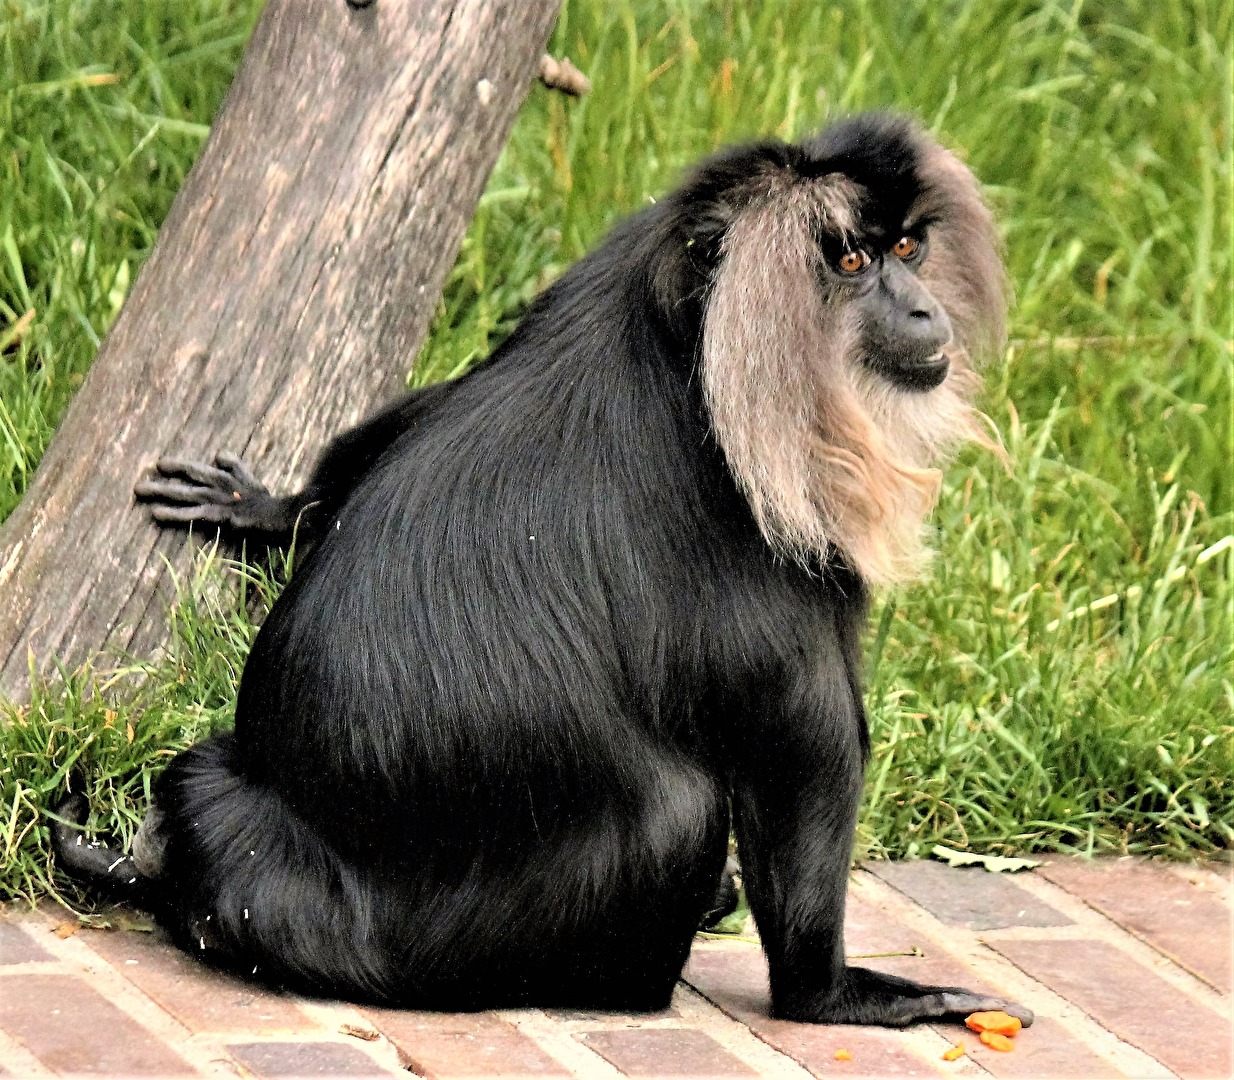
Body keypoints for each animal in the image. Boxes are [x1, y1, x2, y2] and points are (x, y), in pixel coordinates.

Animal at [55, 112, 1032, 1028]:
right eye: (852, 261)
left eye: (906, 248)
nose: (924, 313)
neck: (685, 337)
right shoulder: (770, 523)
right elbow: (805, 747)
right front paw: (832, 994)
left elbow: (429, 404)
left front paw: (266, 506)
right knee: (681, 808)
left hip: (229, 818)